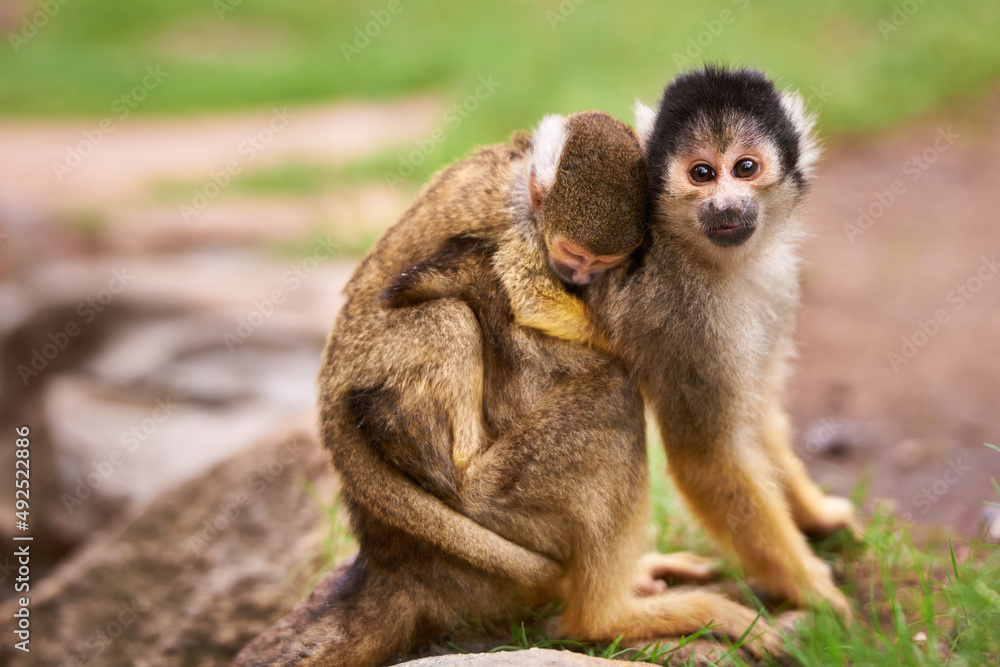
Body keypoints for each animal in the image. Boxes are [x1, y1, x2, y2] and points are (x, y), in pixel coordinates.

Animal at [232, 111, 772, 667]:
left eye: (600, 263)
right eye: (573, 253)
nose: (578, 273)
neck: (525, 181)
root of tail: (329, 383)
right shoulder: (520, 229)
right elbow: (530, 295)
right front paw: (632, 342)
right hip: (375, 361)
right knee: (452, 321)